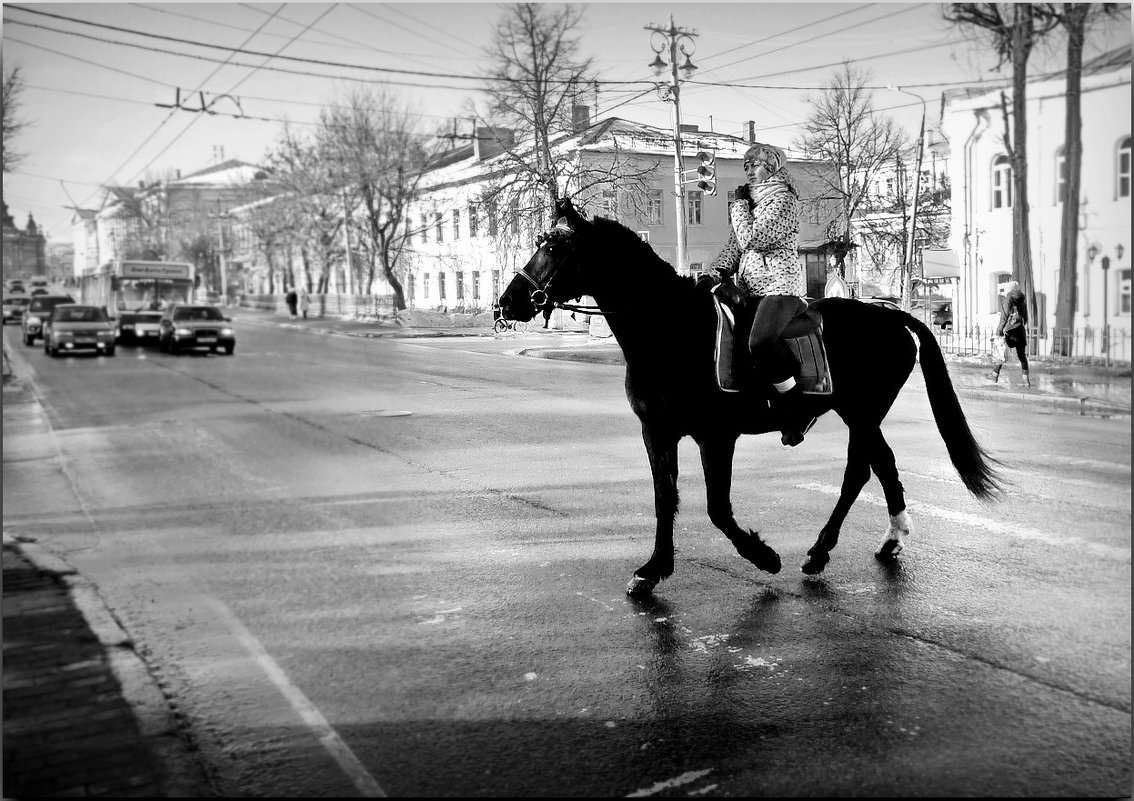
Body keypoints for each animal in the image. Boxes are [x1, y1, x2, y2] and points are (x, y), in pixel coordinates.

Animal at [498, 196, 1002, 589]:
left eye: (553, 247)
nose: (506, 303)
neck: (672, 331)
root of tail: (889, 314)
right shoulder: (657, 432)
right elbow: (665, 499)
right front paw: (653, 569)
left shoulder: (715, 437)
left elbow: (717, 508)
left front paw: (764, 557)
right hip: (860, 413)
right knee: (882, 463)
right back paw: (890, 539)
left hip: (861, 412)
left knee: (858, 472)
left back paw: (819, 552)